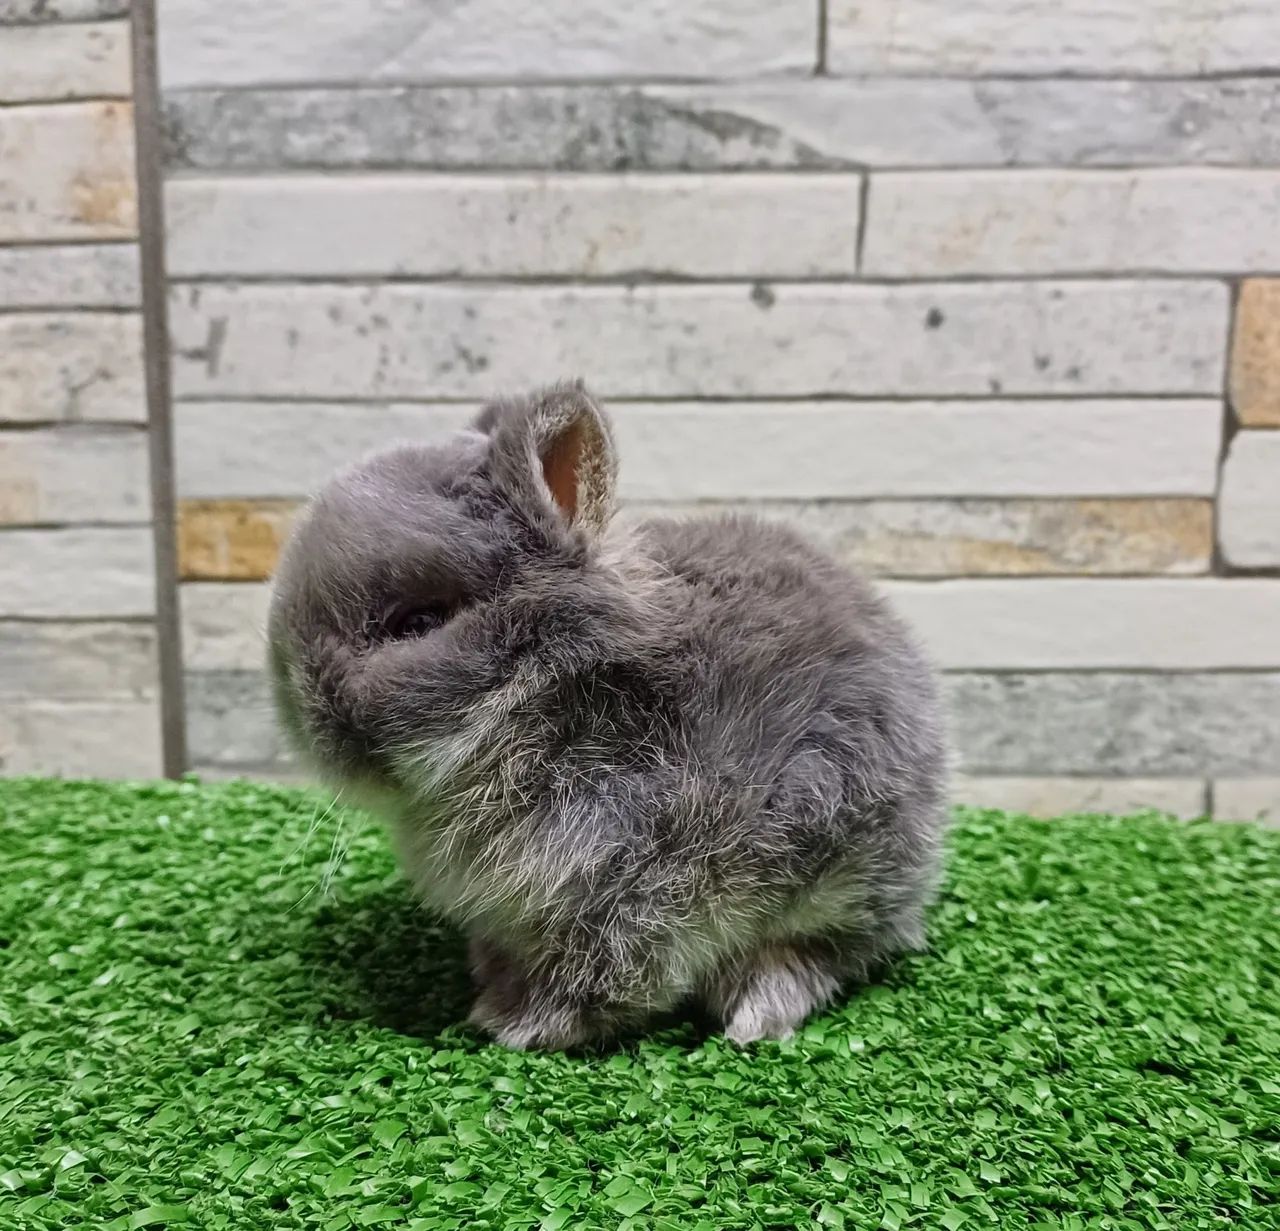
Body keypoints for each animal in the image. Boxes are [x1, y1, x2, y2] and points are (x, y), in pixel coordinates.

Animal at [267, 383, 947, 1050]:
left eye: (419, 622)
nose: (298, 703)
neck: (547, 708)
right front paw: (491, 981)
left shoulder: (638, 880)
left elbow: (605, 972)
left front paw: (515, 1024)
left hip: (841, 871)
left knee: (818, 954)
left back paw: (755, 1014)